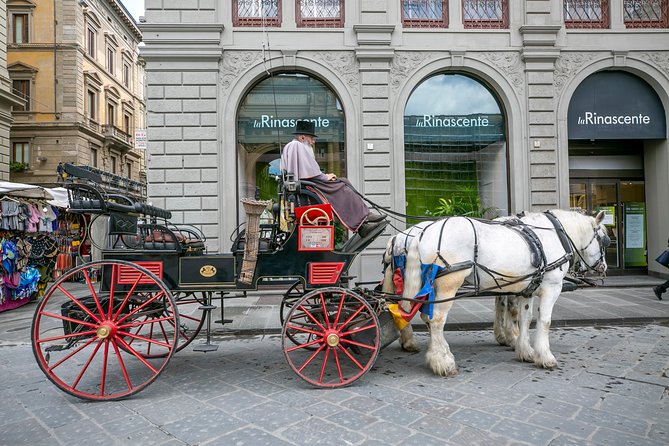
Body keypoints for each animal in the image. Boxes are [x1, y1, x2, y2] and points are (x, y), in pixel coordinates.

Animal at [400, 210, 608, 376]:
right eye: (604, 240)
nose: (603, 267)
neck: (556, 234)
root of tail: (421, 234)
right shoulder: (552, 287)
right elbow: (545, 321)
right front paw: (545, 357)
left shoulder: (527, 290)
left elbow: (526, 318)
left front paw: (525, 351)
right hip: (449, 284)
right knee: (436, 320)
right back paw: (443, 361)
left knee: (426, 317)